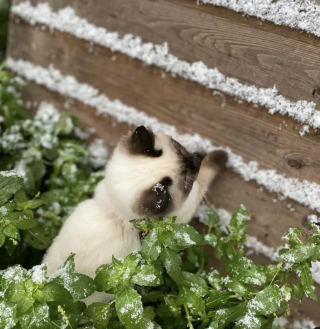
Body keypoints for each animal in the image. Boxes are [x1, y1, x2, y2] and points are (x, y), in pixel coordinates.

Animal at [42, 125, 228, 302]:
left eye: (181, 149)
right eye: (187, 180)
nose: (196, 161)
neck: (117, 214)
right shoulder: (191, 203)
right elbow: (207, 173)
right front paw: (222, 155)